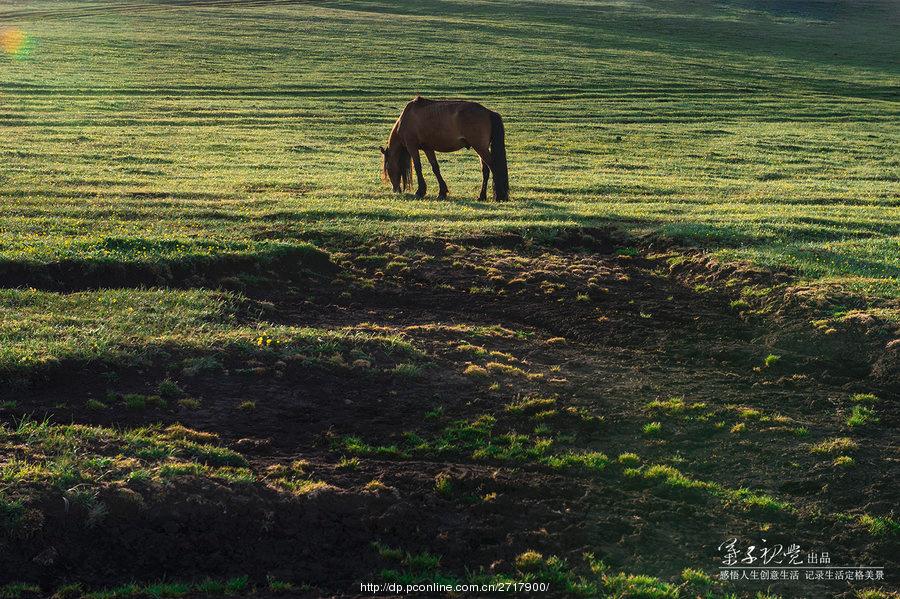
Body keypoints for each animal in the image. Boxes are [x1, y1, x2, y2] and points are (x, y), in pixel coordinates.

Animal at [378, 96, 506, 202]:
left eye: (387, 168)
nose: (395, 190)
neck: (406, 118)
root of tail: (488, 112)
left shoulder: (412, 146)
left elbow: (418, 167)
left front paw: (420, 191)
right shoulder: (428, 148)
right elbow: (435, 167)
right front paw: (442, 192)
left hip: (480, 147)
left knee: (493, 167)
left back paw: (499, 196)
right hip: (480, 148)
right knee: (485, 171)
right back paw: (482, 196)